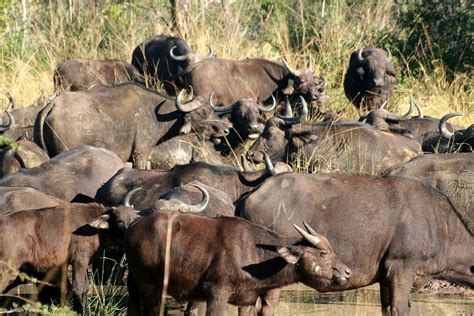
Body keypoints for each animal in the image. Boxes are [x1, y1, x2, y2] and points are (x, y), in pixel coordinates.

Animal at [34, 82, 231, 169]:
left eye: (212, 110)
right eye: (203, 112)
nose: (226, 129)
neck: (156, 113)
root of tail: (53, 105)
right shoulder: (140, 153)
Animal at [118, 211, 352, 314]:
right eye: (323, 252)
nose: (347, 272)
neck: (254, 254)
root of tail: (133, 225)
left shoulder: (248, 301)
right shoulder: (216, 294)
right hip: (149, 287)